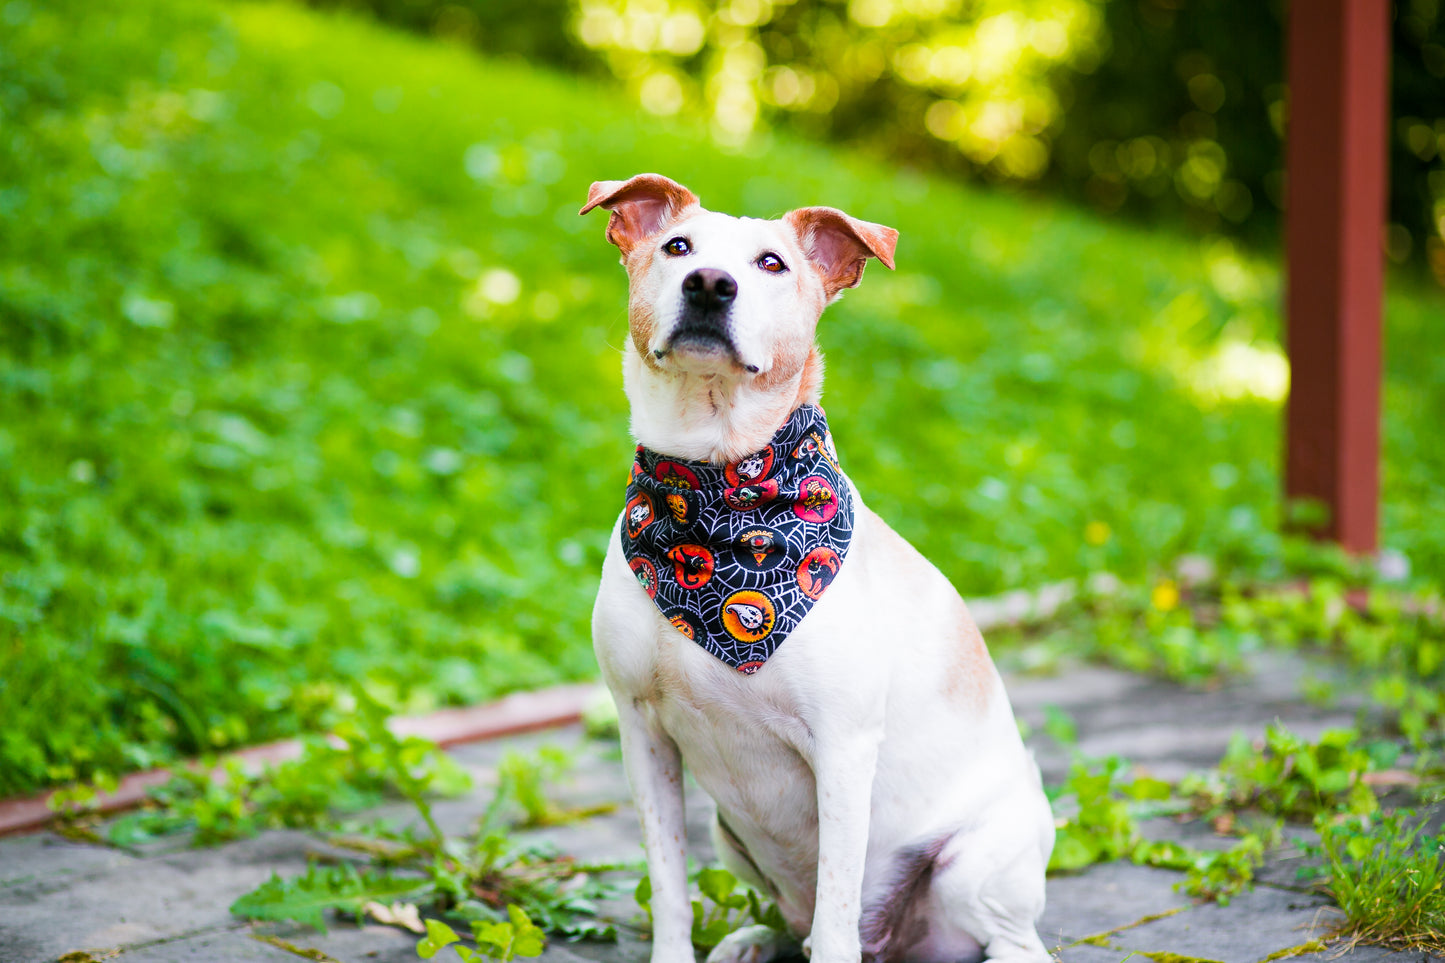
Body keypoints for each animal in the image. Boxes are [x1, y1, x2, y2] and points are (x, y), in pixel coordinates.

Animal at [583, 172, 1051, 960]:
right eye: (677, 247)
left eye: (771, 263)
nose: (710, 284)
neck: (720, 493)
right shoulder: (643, 734)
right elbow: (670, 887)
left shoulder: (842, 748)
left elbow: (836, 912)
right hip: (729, 834)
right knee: (792, 923)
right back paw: (751, 939)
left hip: (973, 869)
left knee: (1008, 942)